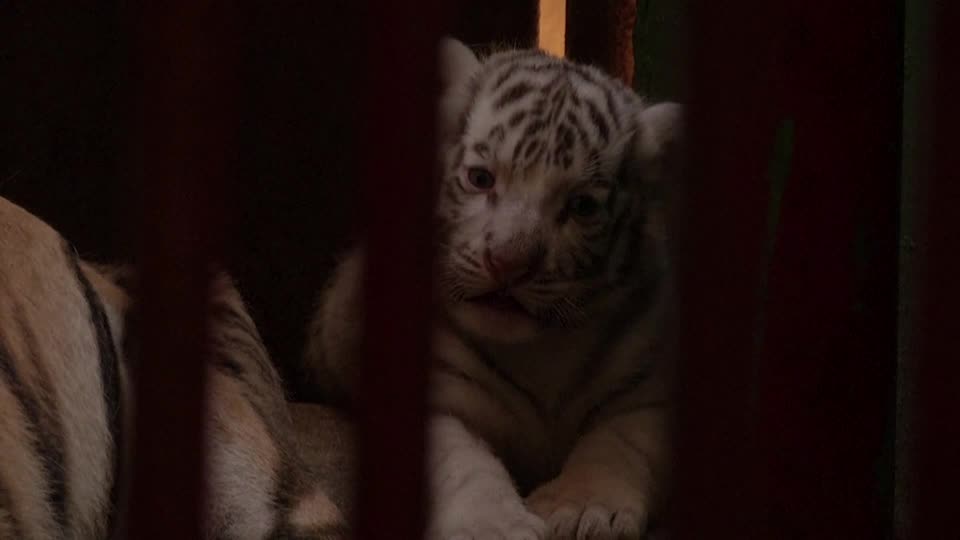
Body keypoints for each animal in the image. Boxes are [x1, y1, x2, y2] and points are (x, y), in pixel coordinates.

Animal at [306, 39, 684, 540]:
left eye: (581, 206)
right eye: (481, 178)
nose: (508, 262)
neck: (541, 352)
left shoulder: (648, 390)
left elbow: (620, 444)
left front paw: (579, 509)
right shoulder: (439, 400)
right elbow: (463, 463)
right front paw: (495, 524)